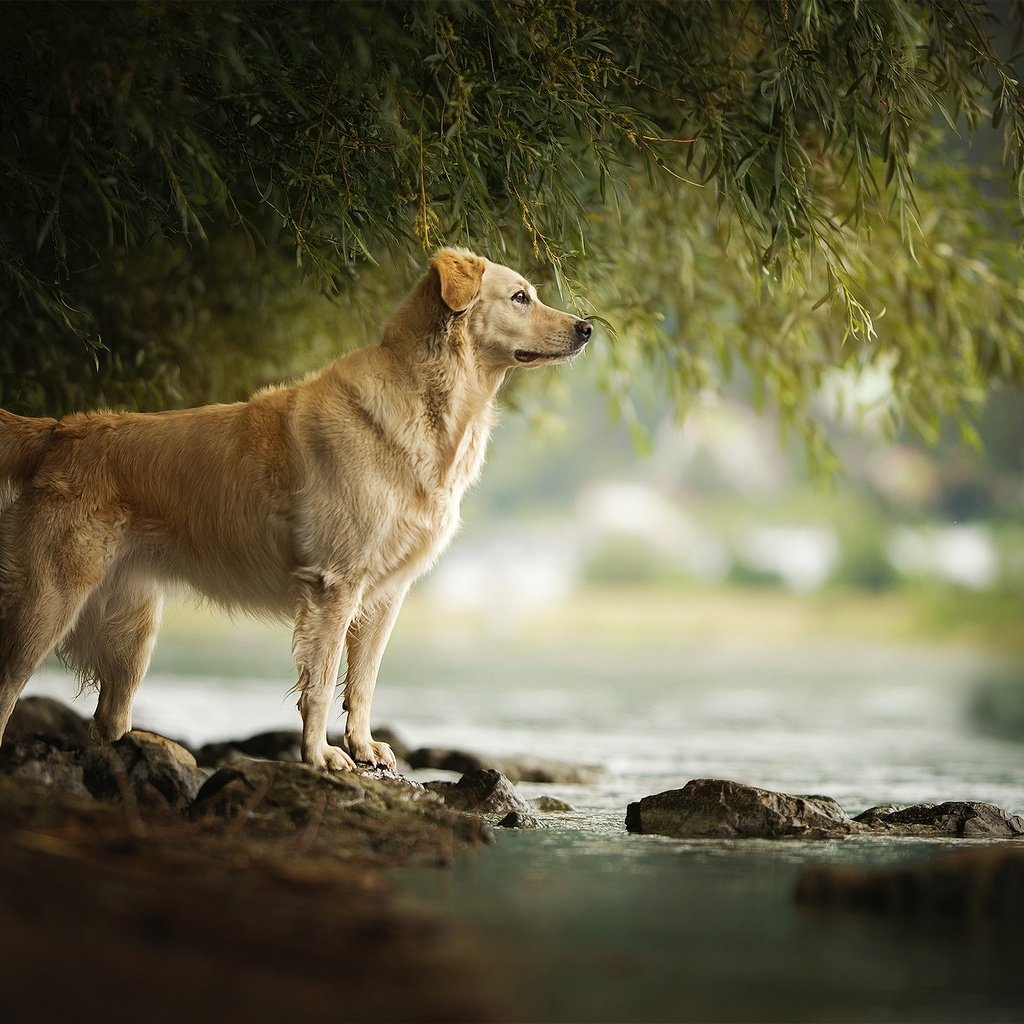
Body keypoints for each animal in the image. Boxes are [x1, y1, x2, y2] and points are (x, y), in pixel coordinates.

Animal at [0, 249, 593, 770]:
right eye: (520, 297)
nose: (587, 328)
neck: (430, 406)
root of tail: (60, 430)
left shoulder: (386, 594)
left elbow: (364, 680)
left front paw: (363, 747)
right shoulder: (334, 585)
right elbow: (323, 683)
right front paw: (321, 756)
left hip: (132, 634)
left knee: (108, 721)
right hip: (49, 599)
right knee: (10, 685)